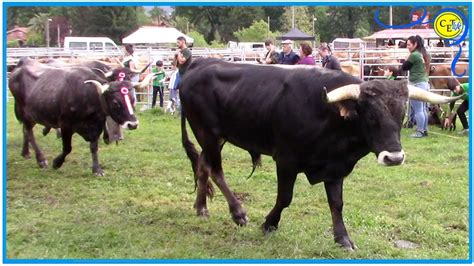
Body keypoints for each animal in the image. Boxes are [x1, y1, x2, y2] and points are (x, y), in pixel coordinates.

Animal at [179, 57, 462, 249]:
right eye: (369, 114)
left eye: (401, 113)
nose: (394, 158)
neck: (330, 116)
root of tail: (197, 63)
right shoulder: (286, 160)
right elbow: (285, 198)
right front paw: (269, 223)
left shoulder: (336, 168)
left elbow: (337, 203)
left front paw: (343, 238)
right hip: (207, 132)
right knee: (215, 169)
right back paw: (238, 212)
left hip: (214, 138)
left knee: (203, 165)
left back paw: (201, 208)